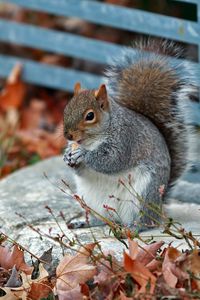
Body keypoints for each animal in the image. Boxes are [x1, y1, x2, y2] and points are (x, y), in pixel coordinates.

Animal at [63, 39, 195, 231]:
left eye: (90, 116)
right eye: (66, 109)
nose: (68, 136)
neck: (92, 140)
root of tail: (159, 207)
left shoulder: (126, 139)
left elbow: (111, 160)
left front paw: (83, 154)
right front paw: (67, 155)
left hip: (143, 195)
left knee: (145, 221)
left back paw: (133, 228)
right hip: (91, 200)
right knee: (100, 219)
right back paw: (83, 222)